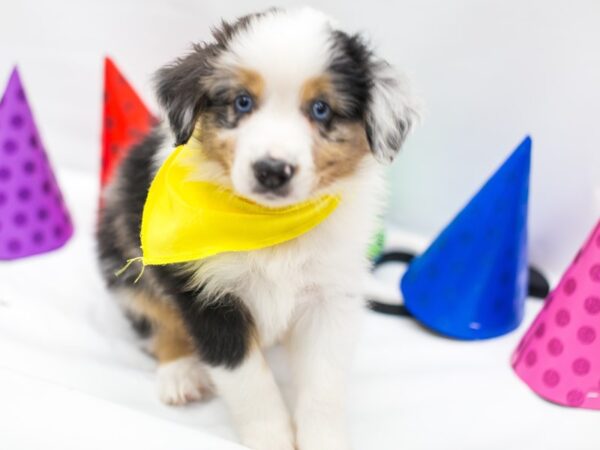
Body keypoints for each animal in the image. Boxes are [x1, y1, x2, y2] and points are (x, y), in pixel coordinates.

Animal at [97, 7, 418, 450]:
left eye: (321, 109)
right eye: (242, 102)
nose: (271, 170)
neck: (270, 226)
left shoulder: (331, 294)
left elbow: (324, 384)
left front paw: (322, 438)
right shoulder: (206, 295)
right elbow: (250, 383)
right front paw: (273, 439)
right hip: (121, 250)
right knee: (152, 318)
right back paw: (179, 373)